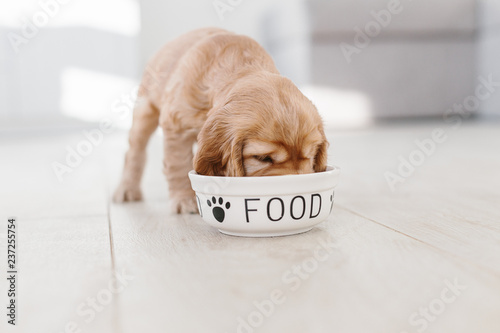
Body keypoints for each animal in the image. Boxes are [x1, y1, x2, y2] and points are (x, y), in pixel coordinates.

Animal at [115, 27, 330, 213]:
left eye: (311, 155)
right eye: (263, 158)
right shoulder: (176, 125)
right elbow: (178, 164)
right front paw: (184, 200)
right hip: (145, 109)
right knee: (134, 151)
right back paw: (127, 189)